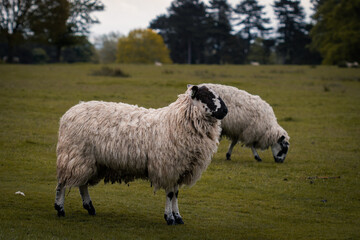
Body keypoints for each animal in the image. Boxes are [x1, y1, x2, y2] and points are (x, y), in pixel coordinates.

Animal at [53, 84, 228, 225]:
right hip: (74, 155)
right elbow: (170, 194)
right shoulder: (168, 167)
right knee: (63, 182)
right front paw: (169, 218)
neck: (177, 121)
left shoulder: (180, 168)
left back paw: (89, 207)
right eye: (206, 96)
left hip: (89, 161)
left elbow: (176, 194)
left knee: (82, 183)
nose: (225, 111)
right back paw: (60, 208)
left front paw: (178, 217)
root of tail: (70, 112)